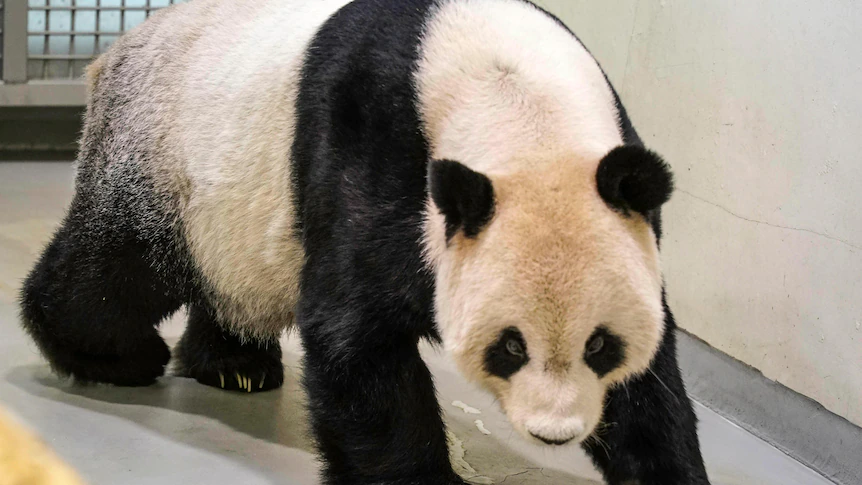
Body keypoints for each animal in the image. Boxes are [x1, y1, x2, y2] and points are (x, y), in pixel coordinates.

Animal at [19, 0, 711, 484]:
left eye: (600, 344)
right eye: (511, 346)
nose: (555, 432)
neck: (516, 103)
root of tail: (117, 48)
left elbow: (653, 381)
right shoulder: (373, 148)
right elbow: (356, 336)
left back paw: (236, 365)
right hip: (163, 156)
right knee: (119, 269)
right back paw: (116, 357)